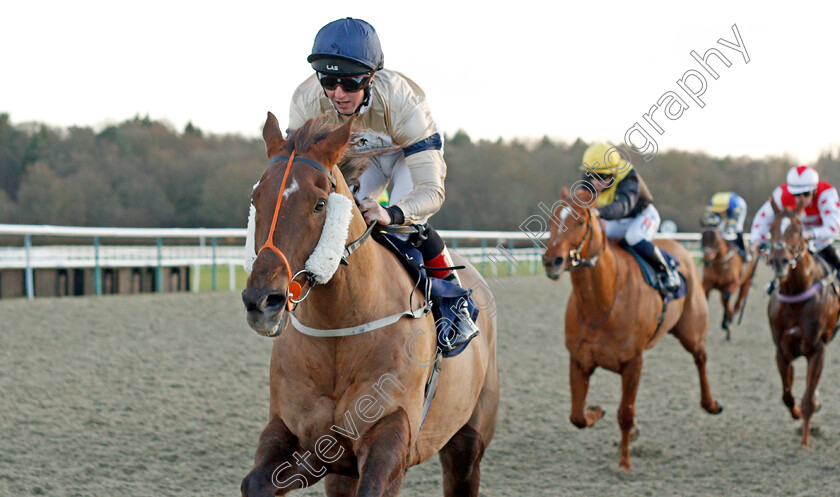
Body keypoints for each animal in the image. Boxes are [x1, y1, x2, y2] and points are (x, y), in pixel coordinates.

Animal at [238, 112, 498, 496]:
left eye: (319, 204)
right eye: (256, 198)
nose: (262, 301)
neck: (338, 331)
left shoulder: (392, 431)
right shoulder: (306, 439)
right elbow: (255, 482)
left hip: (468, 440)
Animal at [540, 187, 724, 468]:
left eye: (580, 221)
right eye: (552, 219)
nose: (552, 261)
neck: (602, 305)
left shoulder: (632, 362)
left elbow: (625, 414)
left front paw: (624, 462)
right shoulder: (579, 359)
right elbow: (577, 416)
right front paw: (595, 411)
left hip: (692, 331)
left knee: (700, 358)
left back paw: (711, 403)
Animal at [768, 205, 840, 446]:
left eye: (799, 229)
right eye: (771, 228)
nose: (779, 261)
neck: (796, 295)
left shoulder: (817, 349)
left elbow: (808, 398)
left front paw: (805, 441)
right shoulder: (782, 350)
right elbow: (787, 396)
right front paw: (797, 412)